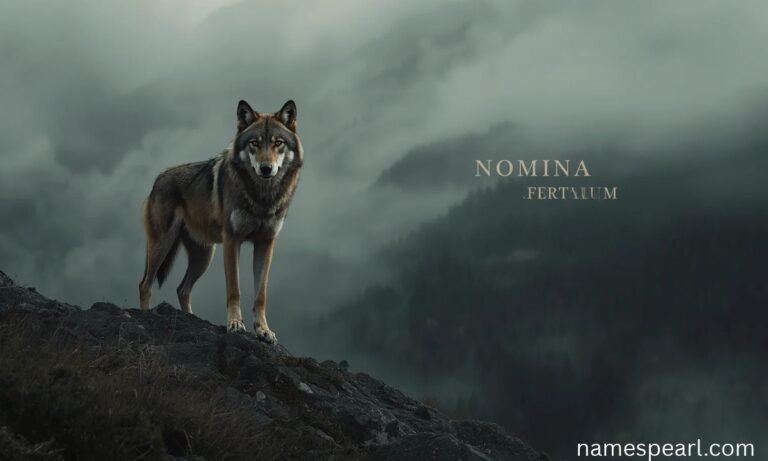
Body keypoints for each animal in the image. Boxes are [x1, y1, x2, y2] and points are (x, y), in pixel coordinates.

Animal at [139, 100, 303, 344]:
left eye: (278, 143)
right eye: (254, 143)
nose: (266, 168)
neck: (262, 197)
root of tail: (158, 178)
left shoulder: (266, 243)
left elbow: (260, 294)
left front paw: (263, 330)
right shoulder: (232, 240)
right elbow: (234, 289)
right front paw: (235, 324)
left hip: (204, 256)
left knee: (182, 289)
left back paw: (192, 319)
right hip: (162, 245)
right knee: (145, 284)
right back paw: (145, 317)